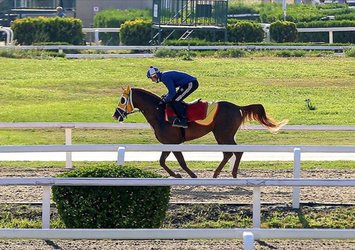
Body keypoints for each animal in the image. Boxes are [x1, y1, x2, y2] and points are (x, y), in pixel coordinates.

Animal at [112, 87, 288, 179]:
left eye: (122, 99)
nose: (115, 115)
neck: (158, 111)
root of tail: (238, 107)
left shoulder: (173, 142)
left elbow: (179, 162)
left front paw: (190, 175)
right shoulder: (169, 143)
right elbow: (162, 161)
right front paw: (177, 175)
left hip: (223, 134)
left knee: (233, 153)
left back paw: (227, 173)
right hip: (224, 135)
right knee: (231, 153)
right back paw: (222, 173)